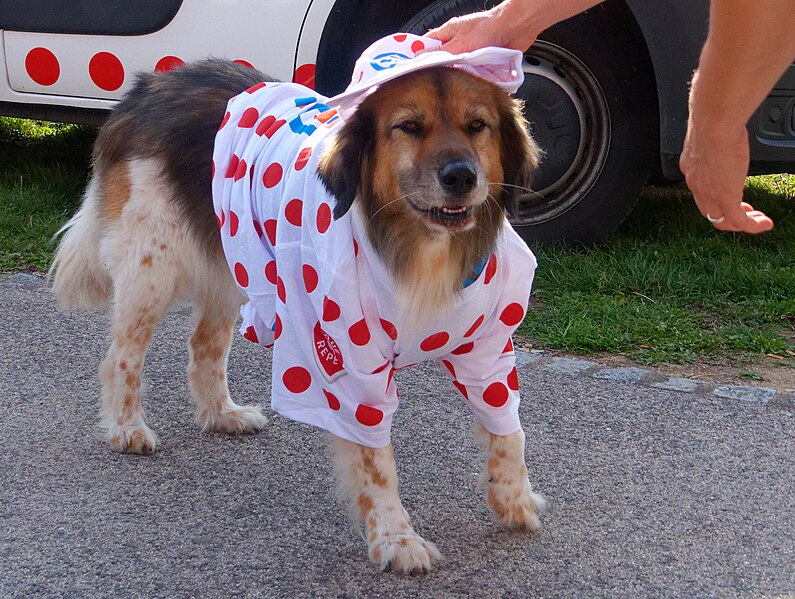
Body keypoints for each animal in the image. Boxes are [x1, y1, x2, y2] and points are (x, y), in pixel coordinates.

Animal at [51, 43, 548, 576]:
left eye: (478, 125)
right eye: (409, 126)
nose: (461, 176)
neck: (417, 249)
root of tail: (150, 85)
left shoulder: (487, 351)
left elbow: (509, 431)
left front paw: (513, 499)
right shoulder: (350, 366)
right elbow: (377, 463)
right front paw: (396, 539)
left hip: (234, 258)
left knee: (203, 344)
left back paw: (222, 414)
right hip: (153, 265)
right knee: (122, 356)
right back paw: (127, 428)